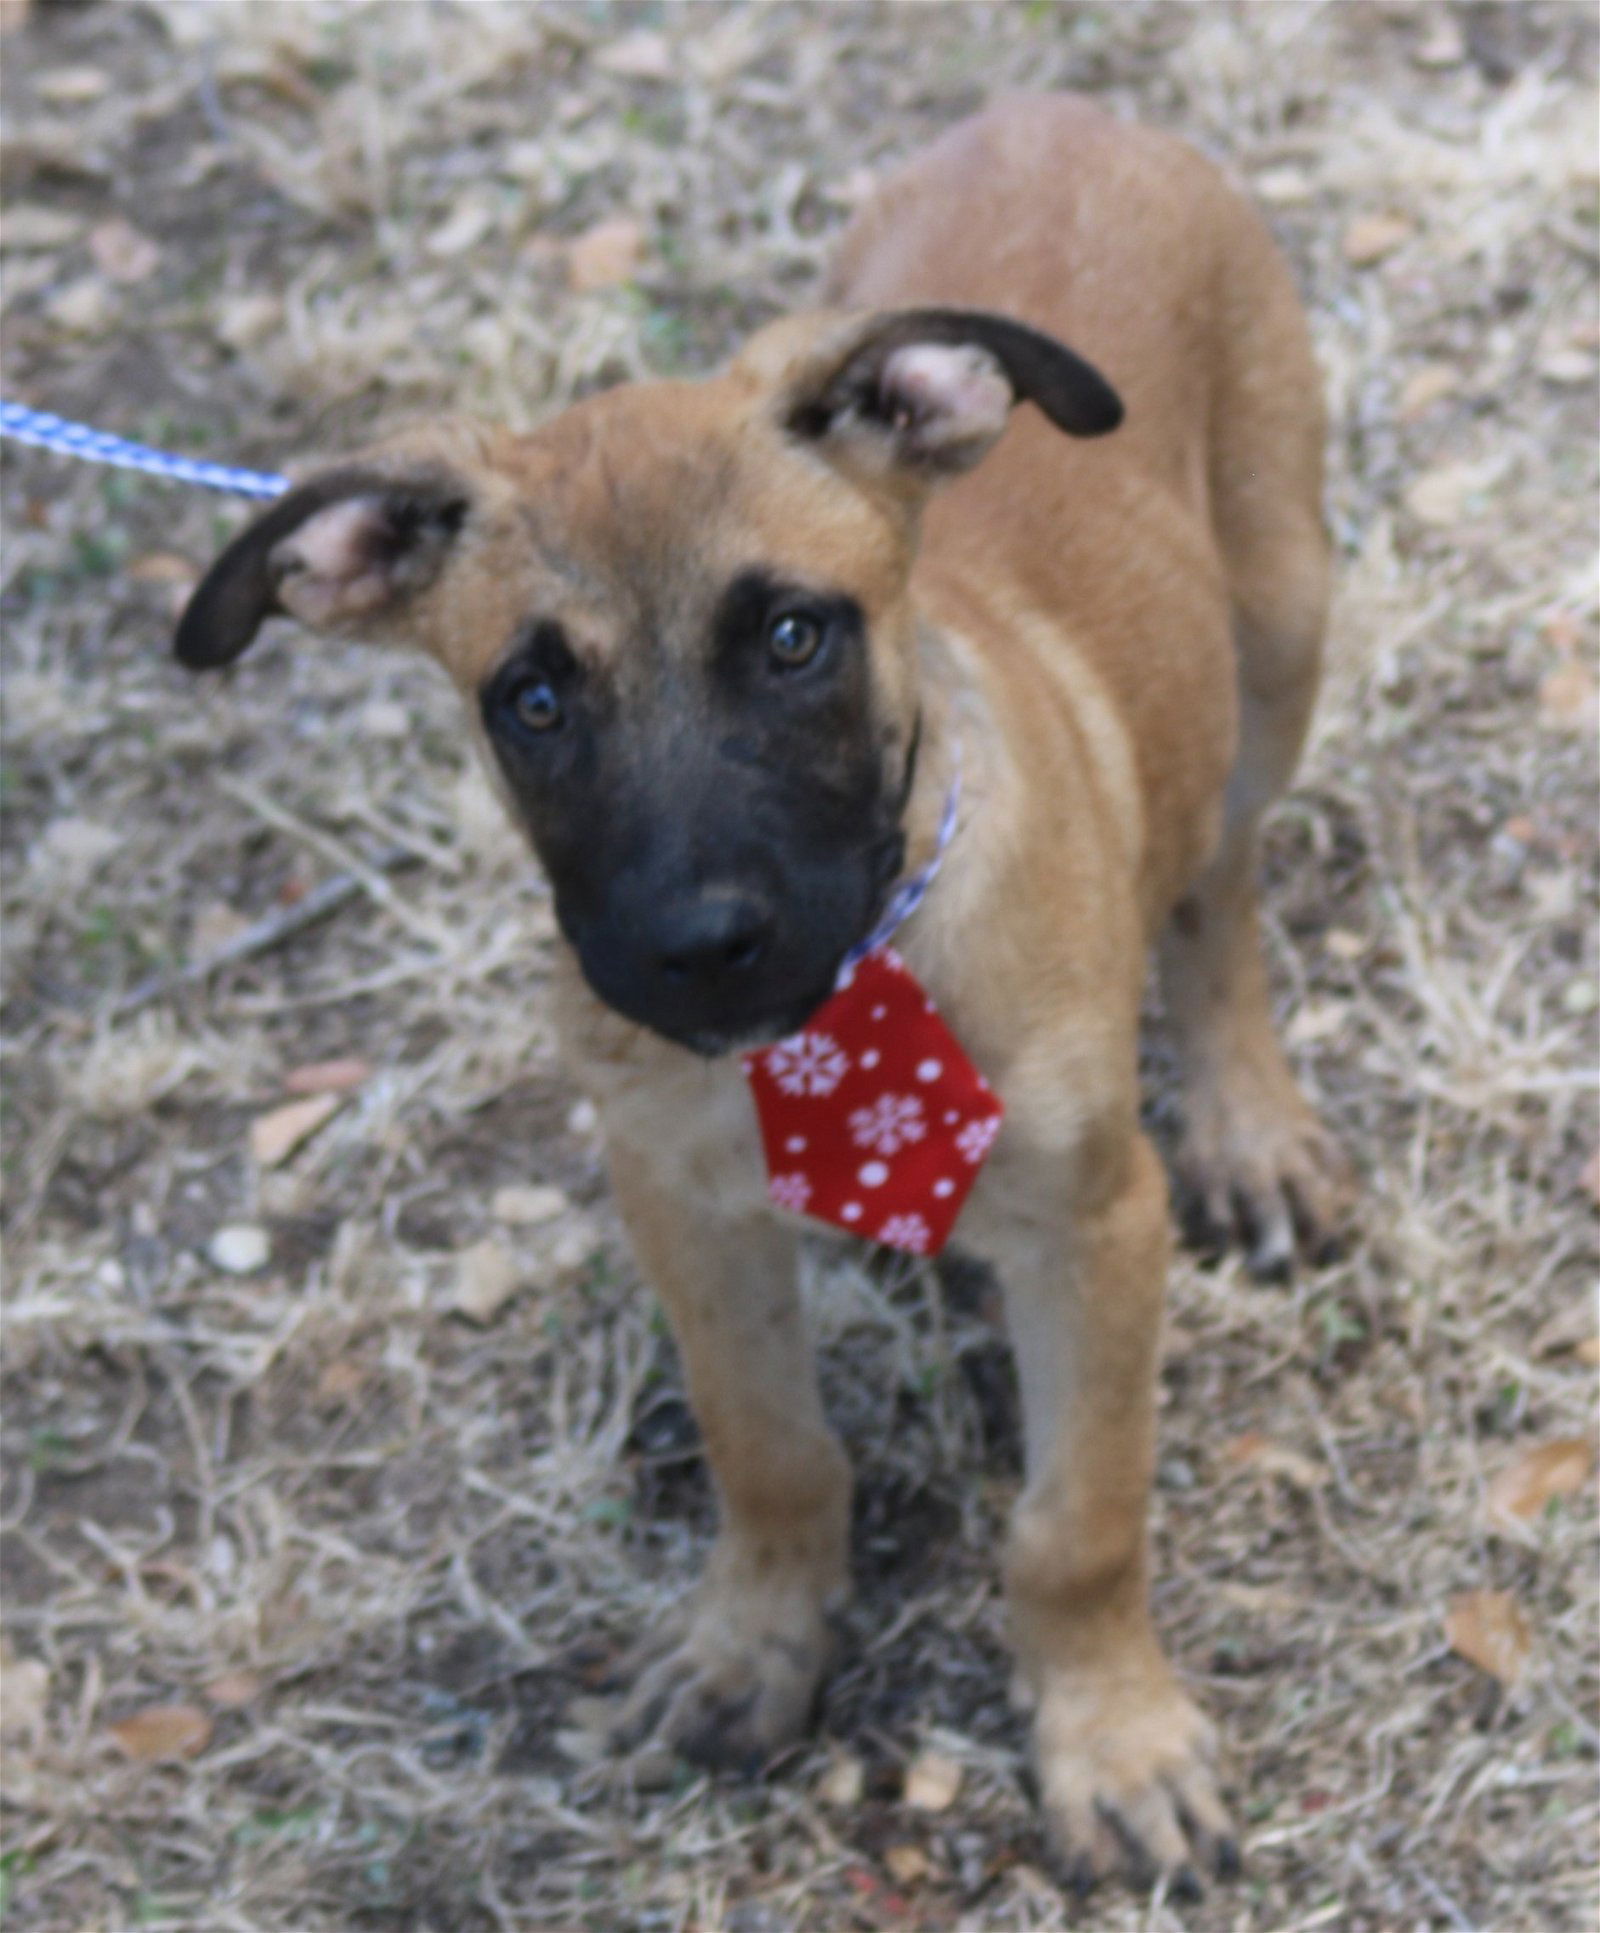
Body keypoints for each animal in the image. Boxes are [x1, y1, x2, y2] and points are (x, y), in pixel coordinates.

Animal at [174, 98, 1352, 1894]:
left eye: (796, 637)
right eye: (531, 700)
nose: (695, 945)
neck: (846, 1007)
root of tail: (1057, 109)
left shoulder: (1094, 1227)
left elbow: (1075, 1524)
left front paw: (1113, 1739)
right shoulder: (683, 1201)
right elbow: (768, 1448)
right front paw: (755, 1646)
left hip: (1280, 629)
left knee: (1220, 894)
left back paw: (1249, 1123)